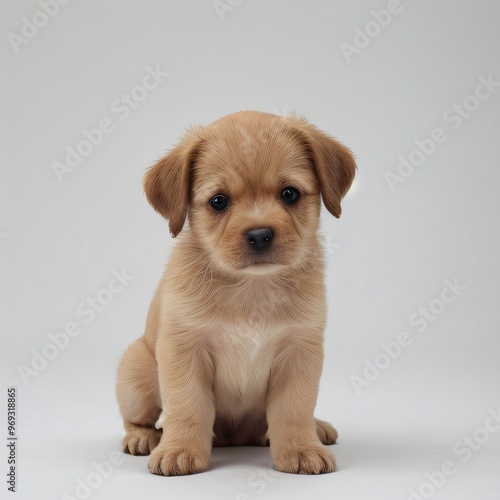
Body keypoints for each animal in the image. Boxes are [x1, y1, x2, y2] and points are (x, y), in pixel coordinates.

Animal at [116, 110, 356, 476]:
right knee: (141, 419)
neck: (251, 288)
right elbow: (187, 406)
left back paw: (315, 428)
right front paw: (180, 449)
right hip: (136, 373)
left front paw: (301, 448)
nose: (259, 235)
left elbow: (295, 408)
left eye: (289, 194)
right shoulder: (184, 352)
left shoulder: (299, 352)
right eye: (219, 201)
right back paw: (144, 437)